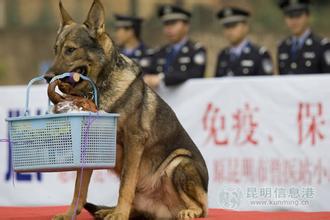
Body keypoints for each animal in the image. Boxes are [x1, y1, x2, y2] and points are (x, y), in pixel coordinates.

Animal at [44, 0, 208, 219]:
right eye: (56, 49)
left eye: (70, 50)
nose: (47, 77)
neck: (100, 87)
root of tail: (164, 212)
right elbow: (79, 188)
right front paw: (71, 213)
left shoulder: (134, 140)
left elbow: (126, 184)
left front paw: (120, 214)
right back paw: (107, 210)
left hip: (179, 162)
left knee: (202, 207)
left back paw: (187, 211)